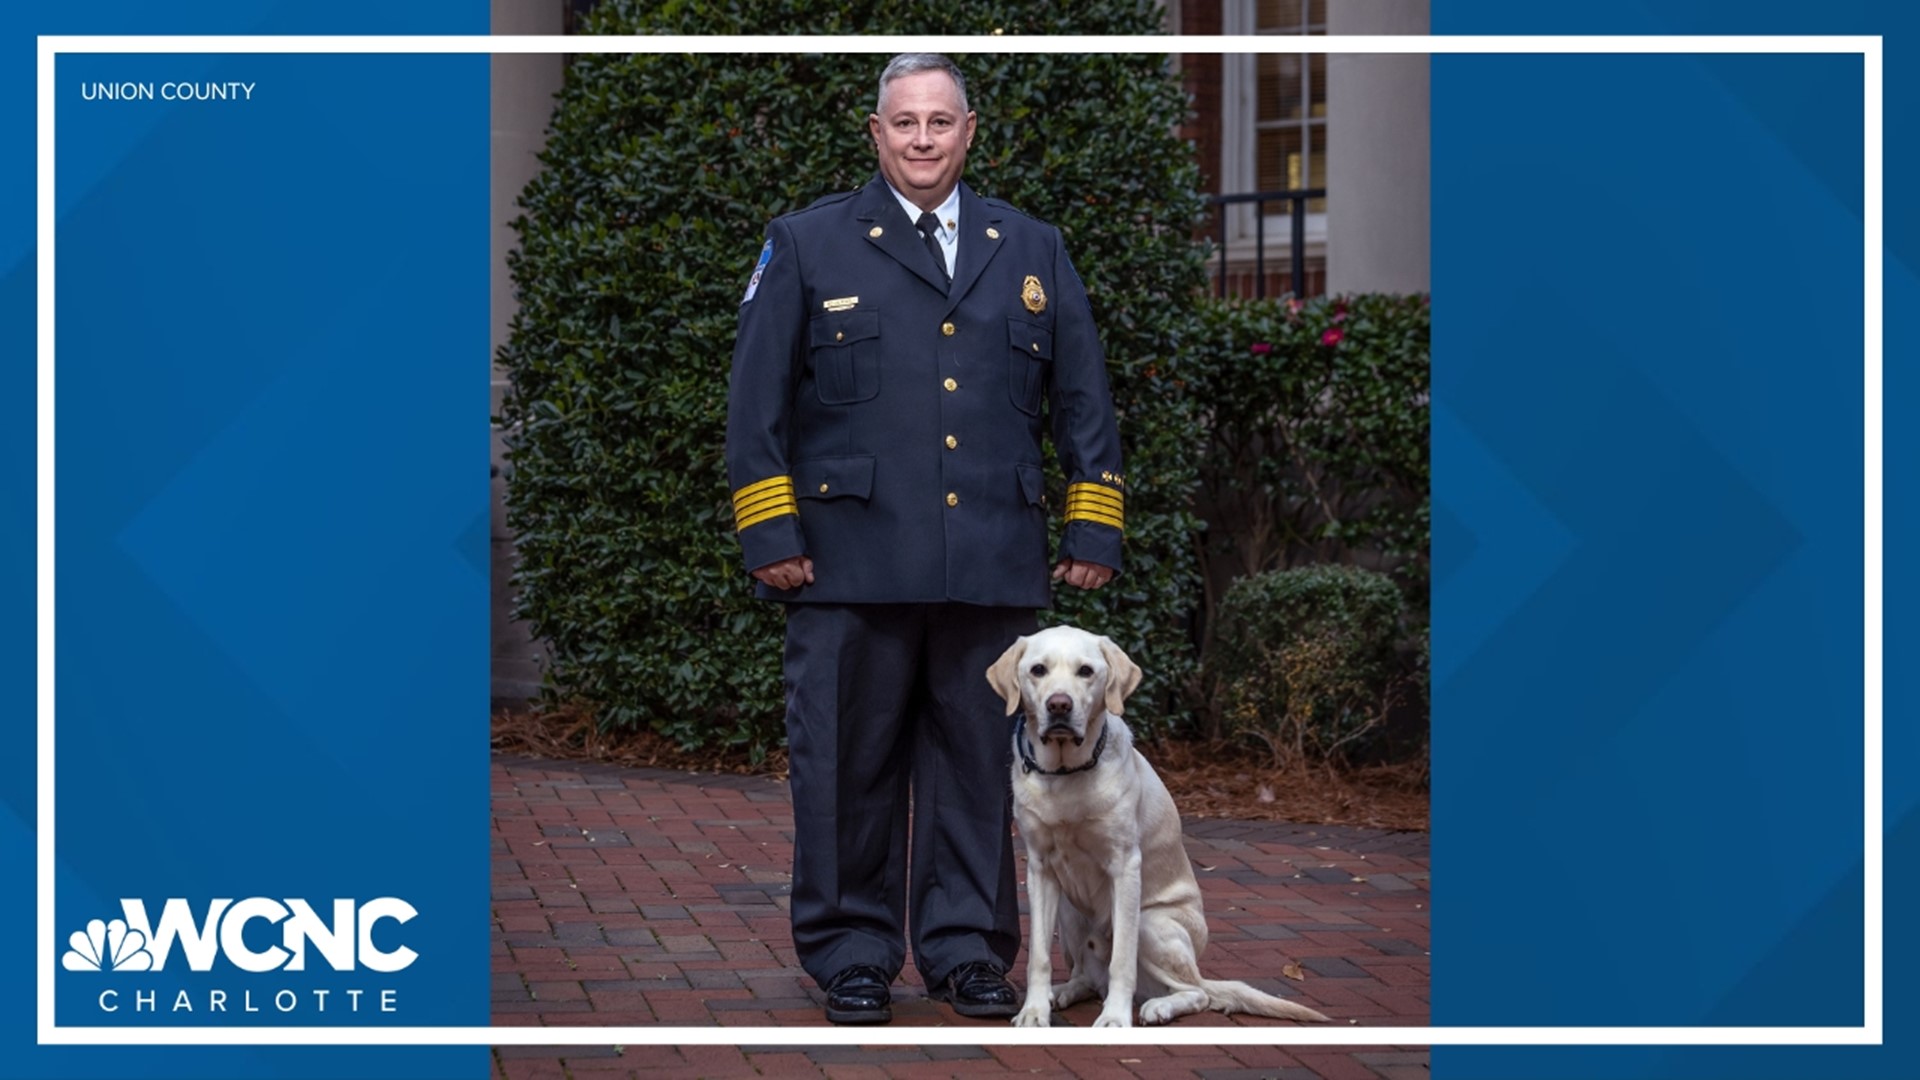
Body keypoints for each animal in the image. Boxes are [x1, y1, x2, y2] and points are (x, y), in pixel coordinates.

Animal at [990, 618, 1336, 1022]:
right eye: (1038, 670)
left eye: (1086, 671)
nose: (1059, 704)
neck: (1064, 773)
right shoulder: (1040, 869)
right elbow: (1039, 957)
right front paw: (1034, 1011)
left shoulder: (1125, 867)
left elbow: (1122, 960)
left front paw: (1115, 1018)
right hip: (1069, 914)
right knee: (1087, 978)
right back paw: (1061, 993)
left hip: (1151, 924)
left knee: (1197, 994)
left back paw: (1159, 1006)